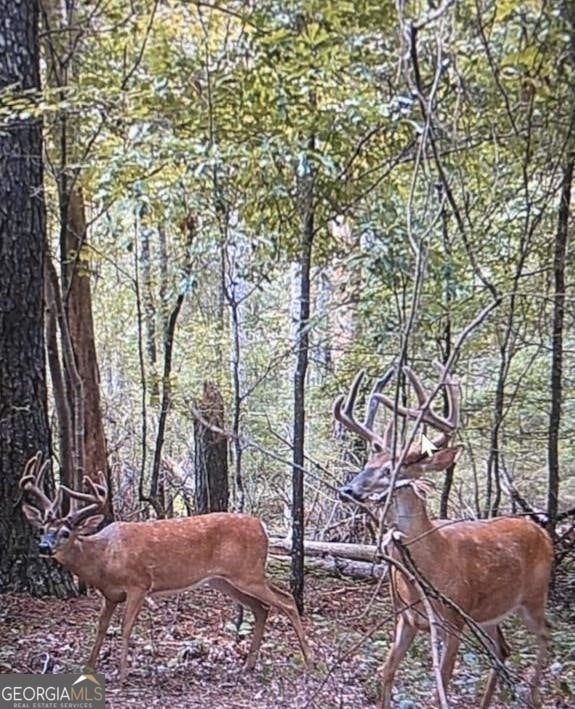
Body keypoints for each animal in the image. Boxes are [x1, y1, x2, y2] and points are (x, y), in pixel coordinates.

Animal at [19, 454, 310, 680]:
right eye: (43, 529)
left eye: (65, 532)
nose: (44, 547)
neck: (103, 558)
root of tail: (262, 528)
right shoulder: (110, 595)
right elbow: (101, 627)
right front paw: (88, 667)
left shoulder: (139, 584)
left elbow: (125, 627)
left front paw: (122, 673)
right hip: (225, 580)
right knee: (262, 609)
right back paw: (248, 665)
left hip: (248, 573)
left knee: (286, 600)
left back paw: (310, 660)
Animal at [336, 366, 556, 708]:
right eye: (367, 464)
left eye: (391, 471)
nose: (347, 490)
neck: (435, 561)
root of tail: (542, 532)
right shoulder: (407, 619)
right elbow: (387, 671)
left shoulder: (452, 619)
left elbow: (441, 687)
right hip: (488, 613)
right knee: (502, 648)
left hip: (533, 596)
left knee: (546, 633)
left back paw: (533, 695)